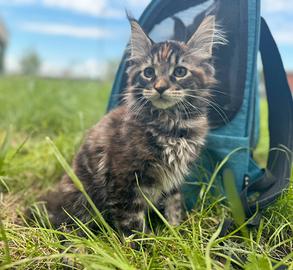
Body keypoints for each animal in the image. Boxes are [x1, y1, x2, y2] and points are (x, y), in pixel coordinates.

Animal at [32, 14, 222, 238]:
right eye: (148, 72)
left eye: (180, 72)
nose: (160, 87)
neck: (172, 125)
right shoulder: (125, 181)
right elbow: (132, 225)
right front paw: (143, 246)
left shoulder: (173, 181)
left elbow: (174, 207)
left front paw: (175, 235)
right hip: (82, 200)